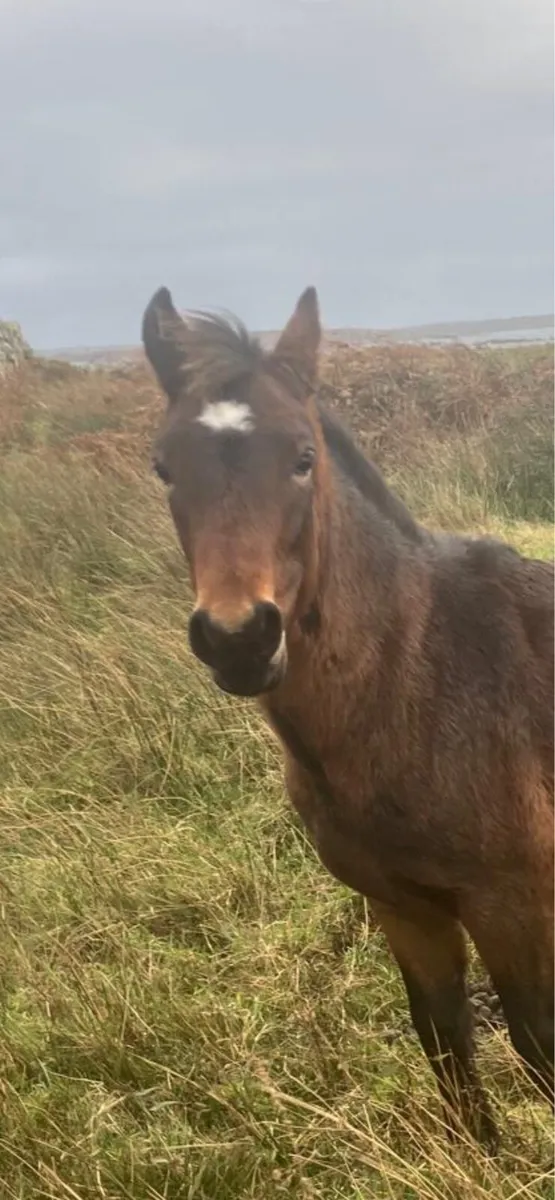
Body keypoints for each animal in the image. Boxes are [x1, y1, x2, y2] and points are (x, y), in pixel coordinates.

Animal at [141, 285, 554, 1151]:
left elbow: (538, 1048)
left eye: (302, 457)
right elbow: (445, 1045)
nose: (239, 637)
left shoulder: (515, 905)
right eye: (163, 465)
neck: (418, 683)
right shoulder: (400, 906)